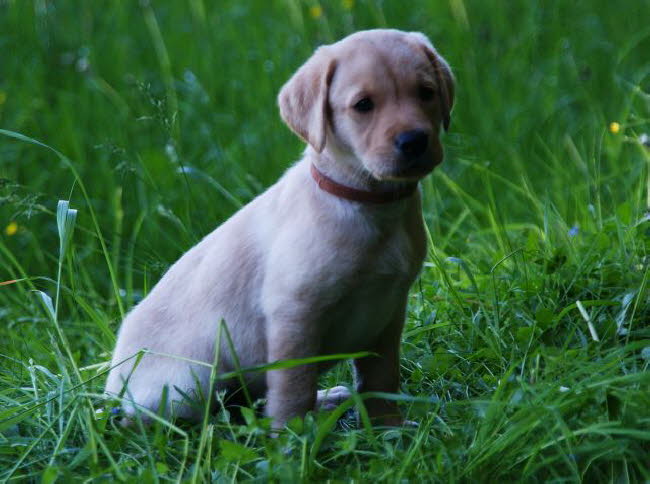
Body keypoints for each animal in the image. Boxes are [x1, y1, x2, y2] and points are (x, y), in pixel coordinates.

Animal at [105, 29, 450, 428]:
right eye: (363, 105)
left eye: (426, 92)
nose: (414, 140)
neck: (369, 203)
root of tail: (110, 393)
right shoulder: (294, 313)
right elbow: (293, 386)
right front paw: (291, 437)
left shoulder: (388, 312)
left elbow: (381, 378)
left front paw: (388, 427)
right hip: (188, 382)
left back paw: (327, 400)